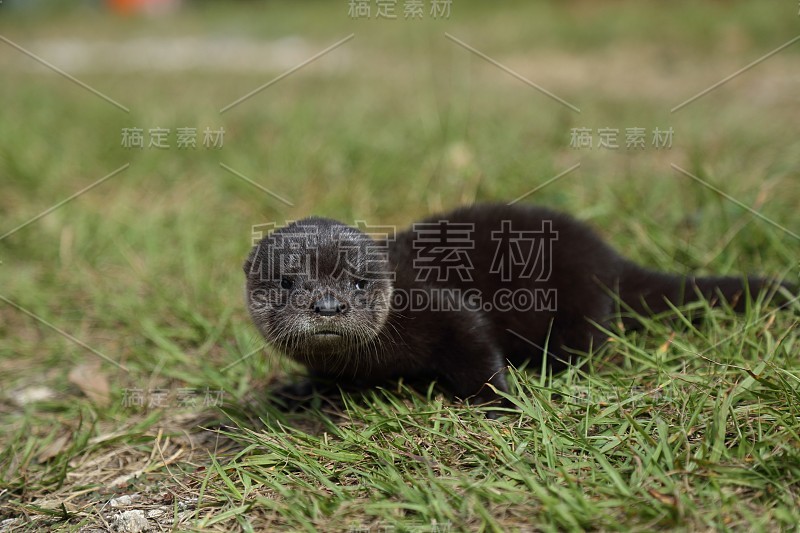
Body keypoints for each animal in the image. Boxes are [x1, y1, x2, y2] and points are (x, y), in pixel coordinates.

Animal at [244, 203, 792, 408]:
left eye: (359, 283)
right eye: (287, 281)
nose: (328, 305)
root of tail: (609, 258)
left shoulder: (445, 307)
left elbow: (477, 347)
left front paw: (500, 404)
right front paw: (296, 393)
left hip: (578, 297)